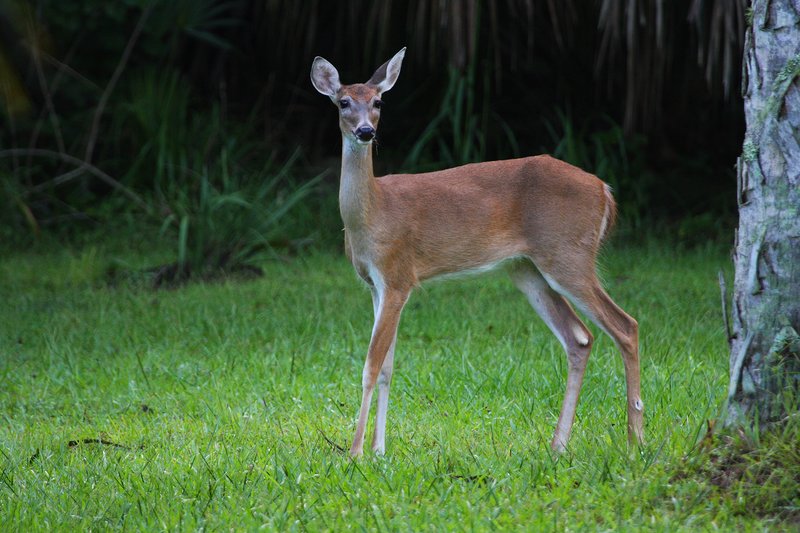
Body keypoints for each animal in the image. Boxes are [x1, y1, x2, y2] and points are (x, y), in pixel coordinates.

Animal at [310, 47, 643, 457]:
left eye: (378, 102)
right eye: (343, 102)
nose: (365, 131)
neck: (372, 213)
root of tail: (604, 190)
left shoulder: (399, 276)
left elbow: (371, 365)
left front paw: (356, 452)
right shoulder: (375, 284)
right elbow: (387, 365)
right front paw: (379, 450)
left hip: (569, 255)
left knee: (625, 326)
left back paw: (635, 440)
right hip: (528, 269)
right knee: (579, 338)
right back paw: (558, 445)